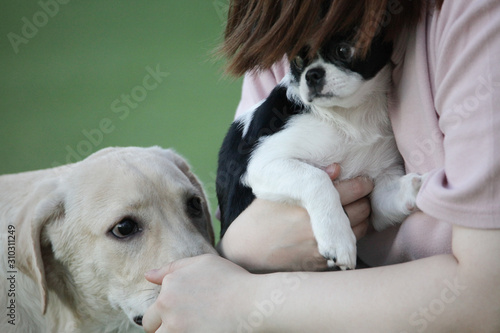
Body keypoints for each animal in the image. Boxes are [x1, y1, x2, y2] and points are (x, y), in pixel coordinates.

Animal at [217, 32, 424, 268]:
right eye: (298, 61)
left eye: (343, 50)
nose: (312, 74)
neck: (348, 115)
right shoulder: (261, 164)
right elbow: (317, 178)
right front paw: (338, 239)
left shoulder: (381, 186)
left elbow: (390, 198)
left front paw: (418, 186)